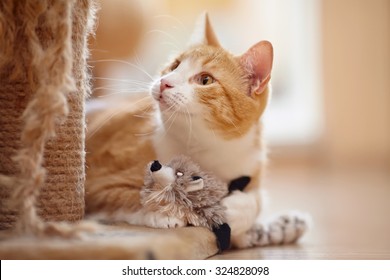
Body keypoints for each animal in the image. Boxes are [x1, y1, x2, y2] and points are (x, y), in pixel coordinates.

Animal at [86, 14, 308, 248]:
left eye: (205, 80)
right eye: (175, 66)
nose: (164, 82)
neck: (205, 149)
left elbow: (257, 200)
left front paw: (247, 215)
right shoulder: (97, 182)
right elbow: (126, 196)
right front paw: (166, 211)